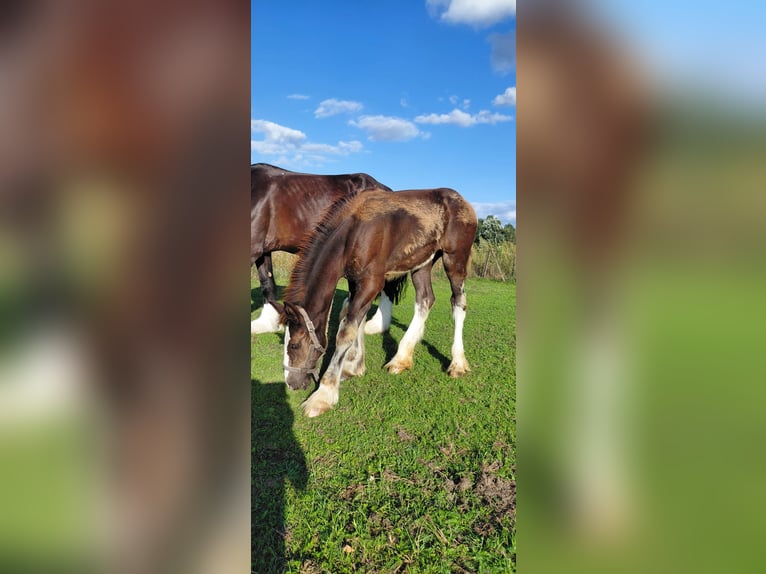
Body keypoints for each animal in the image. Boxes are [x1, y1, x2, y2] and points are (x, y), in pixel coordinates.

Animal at [274, 187, 477, 418]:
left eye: (295, 345)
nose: (291, 384)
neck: (353, 233)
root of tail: (464, 202)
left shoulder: (372, 282)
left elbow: (346, 331)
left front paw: (323, 395)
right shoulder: (355, 281)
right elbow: (352, 317)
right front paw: (353, 366)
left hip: (455, 259)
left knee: (458, 303)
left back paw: (457, 363)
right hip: (423, 262)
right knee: (425, 299)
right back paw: (401, 358)